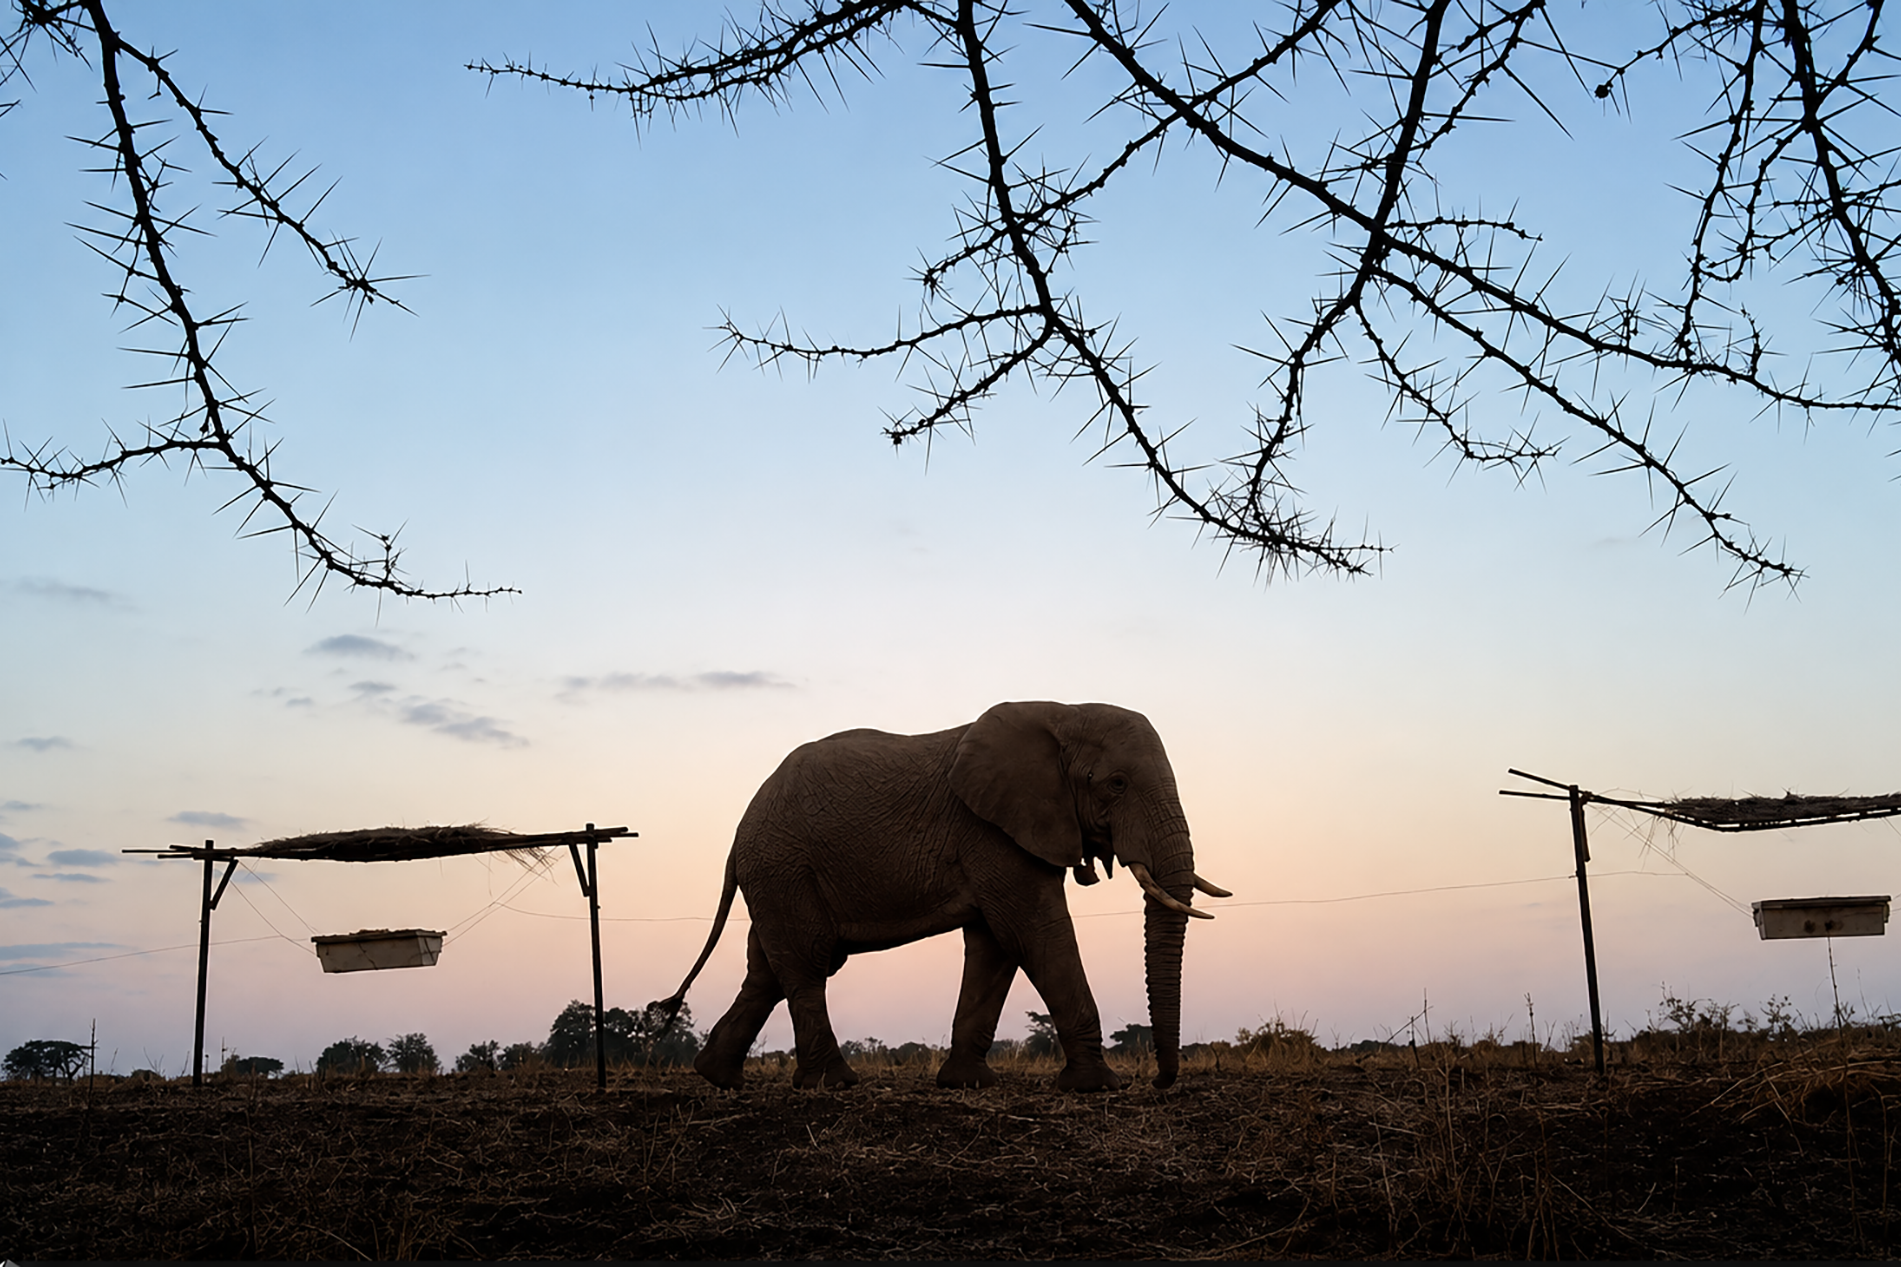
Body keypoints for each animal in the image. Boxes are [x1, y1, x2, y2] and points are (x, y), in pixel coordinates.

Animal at [655, 700, 1230, 1091]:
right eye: (1116, 784)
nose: (1158, 1081)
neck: (1061, 711)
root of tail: (738, 836)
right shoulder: (991, 832)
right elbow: (1035, 930)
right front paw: (1098, 1086)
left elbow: (995, 947)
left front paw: (967, 1083)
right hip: (784, 866)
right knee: (807, 962)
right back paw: (834, 1084)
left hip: (780, 875)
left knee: (767, 969)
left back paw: (718, 1077)